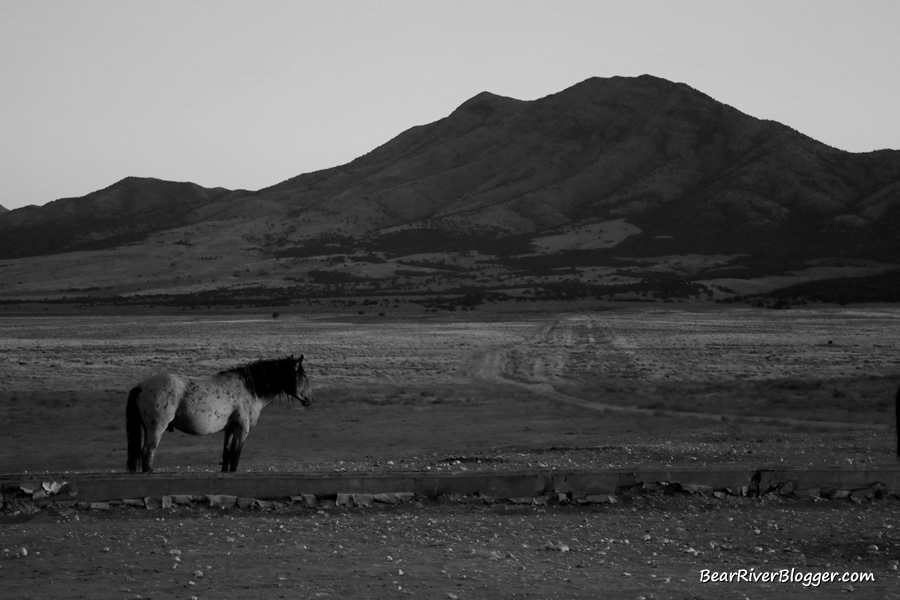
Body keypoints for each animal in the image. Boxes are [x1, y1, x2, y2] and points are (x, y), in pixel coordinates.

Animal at [125, 354, 312, 472]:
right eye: (302, 376)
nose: (309, 399)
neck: (249, 388)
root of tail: (140, 387)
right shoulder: (242, 429)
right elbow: (235, 456)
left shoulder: (230, 429)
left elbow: (227, 455)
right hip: (156, 430)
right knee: (148, 453)